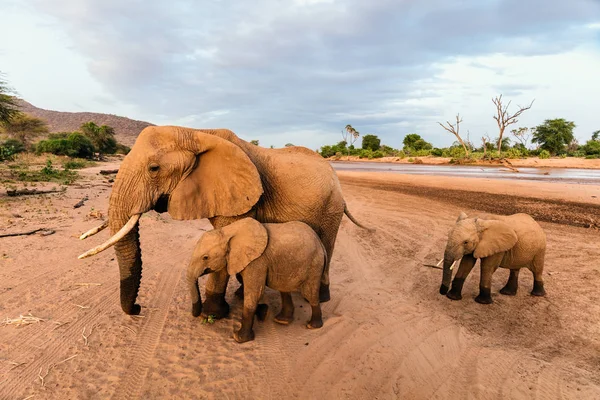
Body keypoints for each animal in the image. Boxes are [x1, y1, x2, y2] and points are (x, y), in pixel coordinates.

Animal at [78, 125, 370, 316]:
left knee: (327, 245)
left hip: (331, 206)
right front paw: (238, 298)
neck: (195, 132)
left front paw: (213, 314)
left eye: (154, 169)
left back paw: (320, 296)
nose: (138, 308)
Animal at [189, 217, 326, 342]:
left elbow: (254, 293)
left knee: (310, 293)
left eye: (205, 257)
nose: (200, 316)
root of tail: (320, 243)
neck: (228, 232)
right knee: (284, 289)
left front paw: (239, 338)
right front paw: (263, 313)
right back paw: (281, 321)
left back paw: (312, 326)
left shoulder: (257, 261)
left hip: (314, 264)